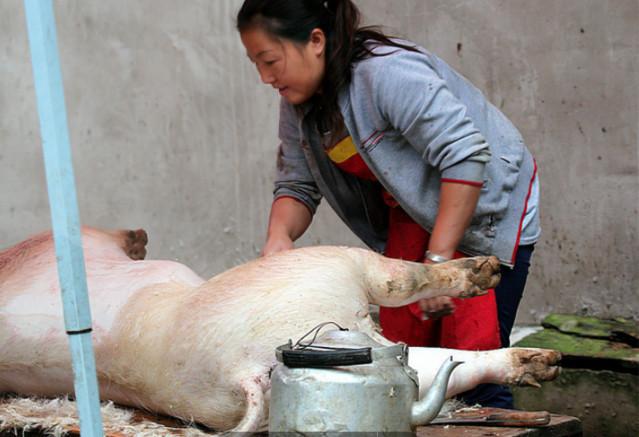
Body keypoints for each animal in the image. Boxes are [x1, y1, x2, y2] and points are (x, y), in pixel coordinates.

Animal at [0, 230, 560, 430]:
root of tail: (238, 370)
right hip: (329, 271)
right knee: (401, 280)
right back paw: (487, 272)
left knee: (428, 367)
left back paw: (543, 365)